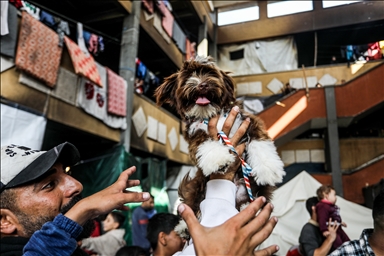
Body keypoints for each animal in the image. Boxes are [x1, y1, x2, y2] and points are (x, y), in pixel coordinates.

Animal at [154, 55, 284, 214]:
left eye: (211, 73)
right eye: (188, 76)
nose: (203, 85)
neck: (209, 114)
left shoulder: (247, 121)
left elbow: (259, 141)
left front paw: (268, 169)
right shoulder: (196, 134)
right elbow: (204, 143)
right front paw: (219, 159)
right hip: (198, 185)